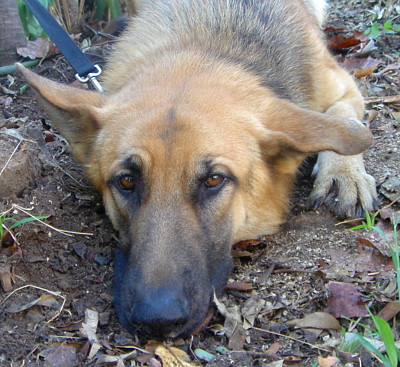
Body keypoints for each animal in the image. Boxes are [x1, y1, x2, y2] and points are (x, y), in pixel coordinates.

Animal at [17, 0, 376, 340]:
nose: (157, 319)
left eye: (214, 180)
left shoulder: (342, 87)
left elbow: (346, 121)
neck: (204, 49)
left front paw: (344, 173)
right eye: (127, 181)